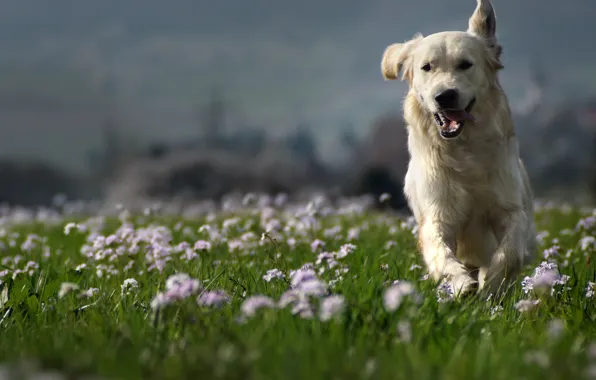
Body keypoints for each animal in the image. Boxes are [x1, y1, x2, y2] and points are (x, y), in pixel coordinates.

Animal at [380, 0, 536, 296]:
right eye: (426, 67)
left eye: (465, 65)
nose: (445, 96)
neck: (464, 151)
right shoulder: (437, 215)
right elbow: (441, 253)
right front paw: (461, 283)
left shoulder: (511, 210)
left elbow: (508, 252)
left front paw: (491, 283)